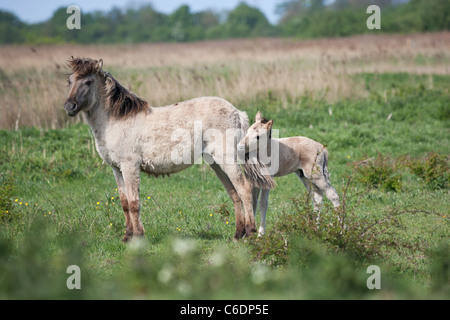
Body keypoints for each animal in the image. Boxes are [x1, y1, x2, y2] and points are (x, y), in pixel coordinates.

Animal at [64, 57, 274, 242]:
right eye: (69, 81)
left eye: (89, 81)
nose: (69, 106)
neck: (116, 121)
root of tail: (237, 112)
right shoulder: (117, 169)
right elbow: (124, 203)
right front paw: (127, 237)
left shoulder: (130, 166)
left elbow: (134, 203)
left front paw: (138, 237)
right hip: (215, 162)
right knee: (234, 193)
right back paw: (238, 234)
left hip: (226, 158)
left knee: (244, 189)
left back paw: (250, 232)